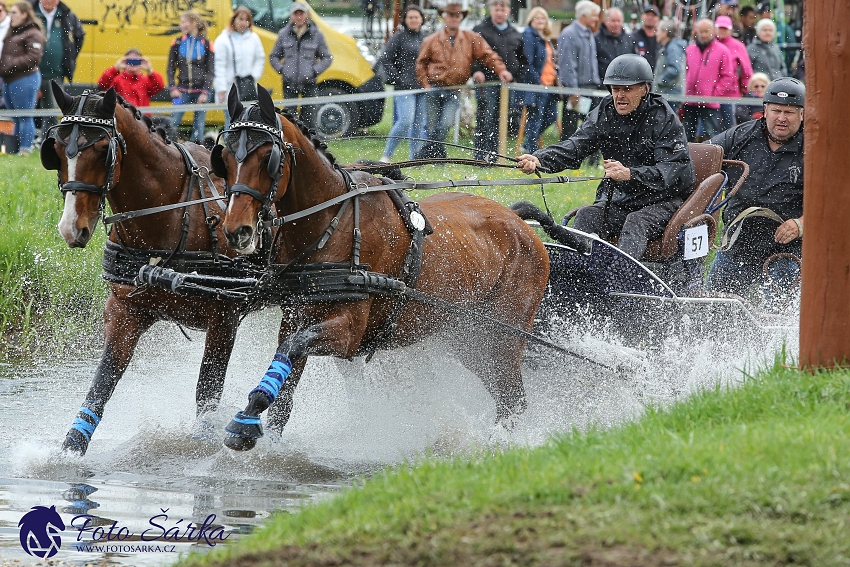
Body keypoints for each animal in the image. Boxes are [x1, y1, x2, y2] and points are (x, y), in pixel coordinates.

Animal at [43, 83, 243, 458]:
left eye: (103, 150)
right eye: (57, 151)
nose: (70, 227)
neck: (174, 211)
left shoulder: (225, 317)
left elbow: (207, 393)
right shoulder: (125, 311)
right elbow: (100, 386)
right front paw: (68, 453)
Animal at [209, 87, 548, 452]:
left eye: (267, 157)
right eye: (224, 159)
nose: (237, 230)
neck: (335, 223)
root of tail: (523, 227)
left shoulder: (348, 333)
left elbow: (293, 348)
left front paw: (245, 418)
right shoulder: (294, 317)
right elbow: (285, 380)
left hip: (500, 337)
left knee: (512, 398)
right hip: (467, 338)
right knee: (507, 395)